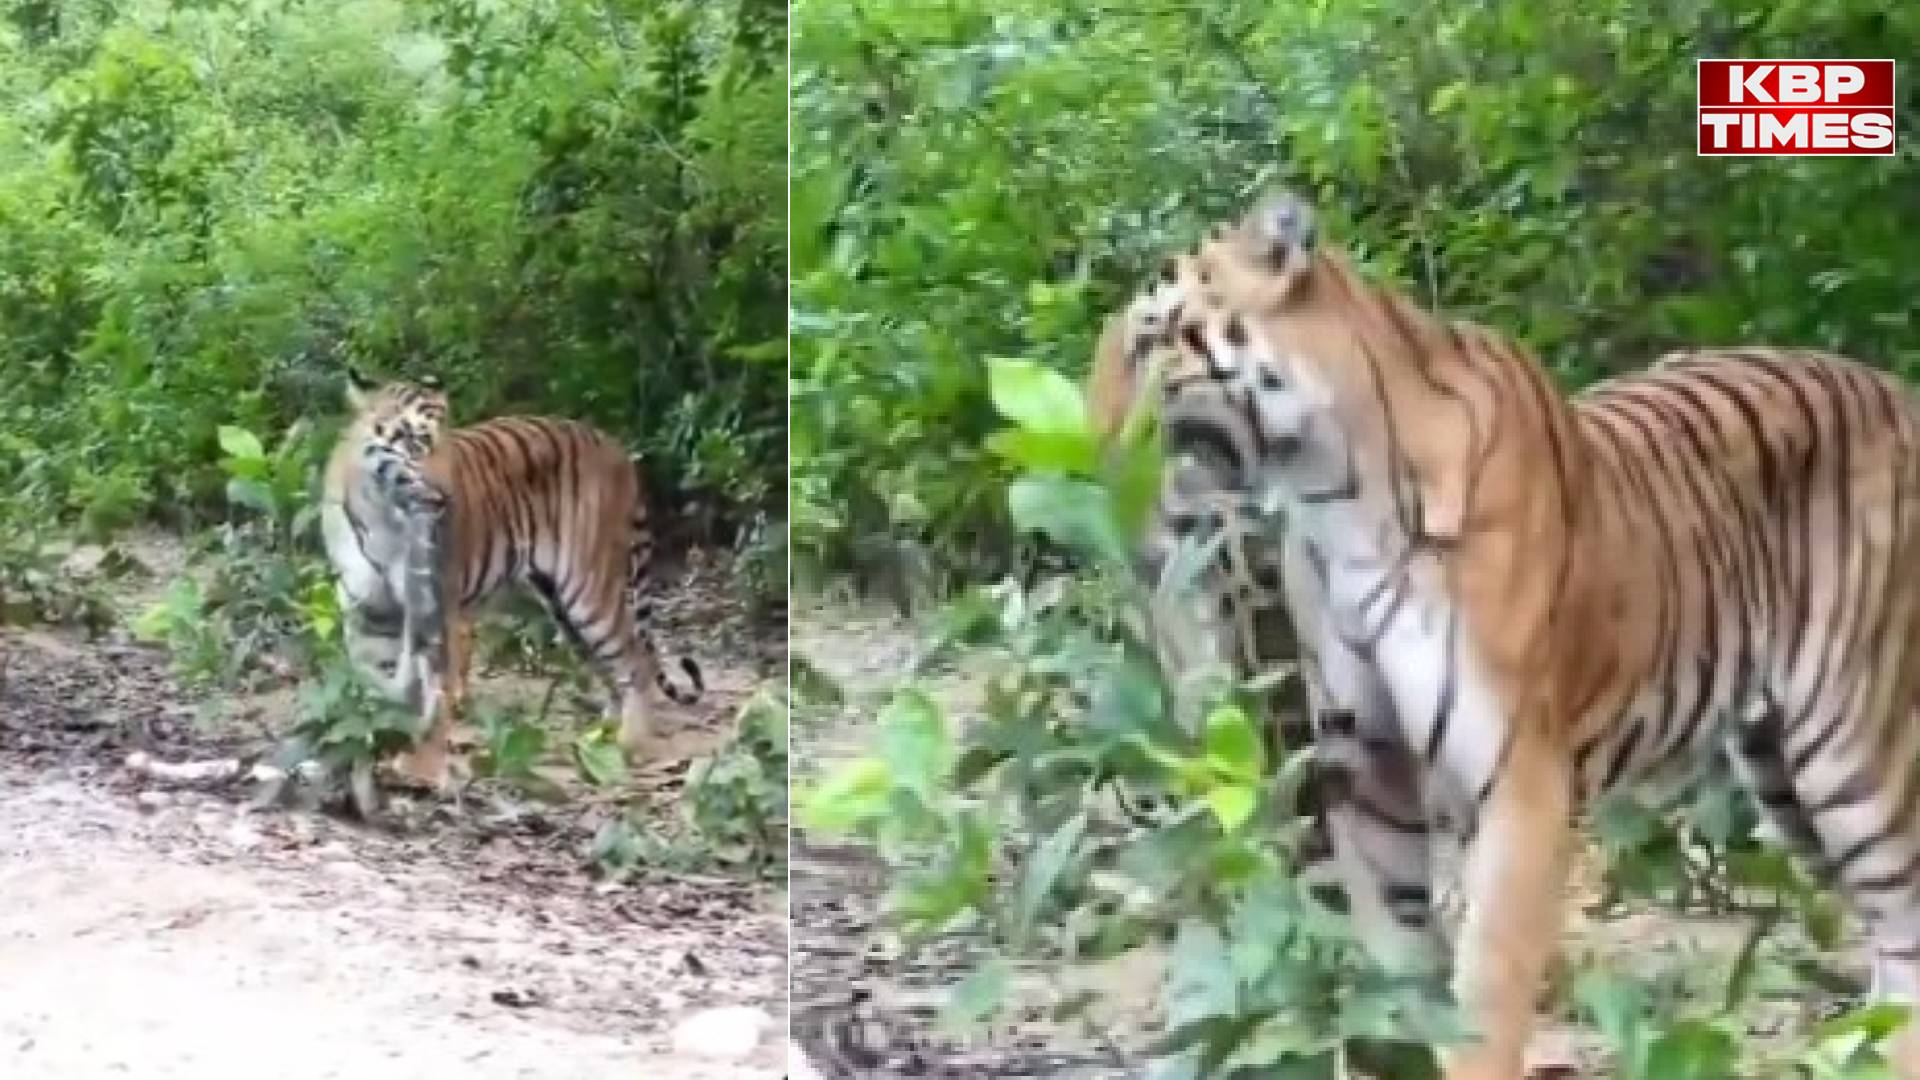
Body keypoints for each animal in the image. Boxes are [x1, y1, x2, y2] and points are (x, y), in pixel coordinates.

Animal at [320, 369, 705, 790]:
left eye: (446, 439)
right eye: (415, 440)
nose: (448, 496)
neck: (382, 515)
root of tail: (617, 450)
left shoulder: (438, 606)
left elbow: (436, 689)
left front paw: (422, 767)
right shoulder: (369, 611)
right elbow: (381, 687)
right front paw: (381, 743)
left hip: (588, 592)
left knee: (636, 660)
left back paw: (627, 744)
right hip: (563, 608)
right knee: (612, 666)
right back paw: (600, 737)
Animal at [1088, 190, 1920, 1078]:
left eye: (1152, 338)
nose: (1091, 440)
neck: (1332, 495)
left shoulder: (1520, 777)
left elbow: (1483, 993)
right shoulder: (1364, 765)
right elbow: (1398, 968)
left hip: (1849, 751)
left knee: (1904, 921)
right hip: (1779, 771)